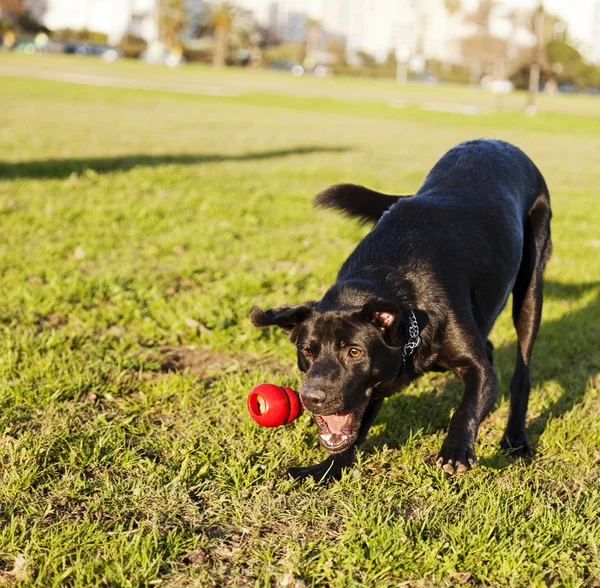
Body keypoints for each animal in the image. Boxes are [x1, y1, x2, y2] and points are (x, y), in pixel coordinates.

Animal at [250, 140, 552, 480]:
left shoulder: (480, 371)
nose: (312, 398)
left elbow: (466, 407)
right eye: (307, 351)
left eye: (354, 352)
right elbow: (353, 433)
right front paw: (324, 470)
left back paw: (515, 439)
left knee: (521, 374)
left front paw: (456, 449)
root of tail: (499, 142)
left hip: (530, 289)